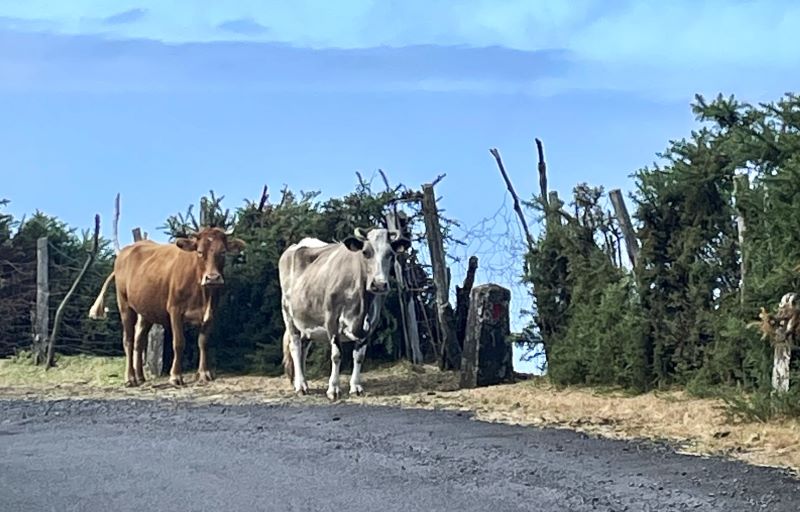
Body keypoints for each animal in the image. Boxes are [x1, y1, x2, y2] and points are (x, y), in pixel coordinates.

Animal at [87, 229, 244, 388]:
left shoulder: (211, 312)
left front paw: (204, 373)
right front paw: (175, 376)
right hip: (124, 304)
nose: (212, 278)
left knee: (139, 340)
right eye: (200, 252)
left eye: (223, 252)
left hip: (146, 310)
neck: (202, 293)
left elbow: (203, 342)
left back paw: (140, 376)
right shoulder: (175, 310)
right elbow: (179, 343)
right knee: (128, 340)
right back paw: (130, 378)